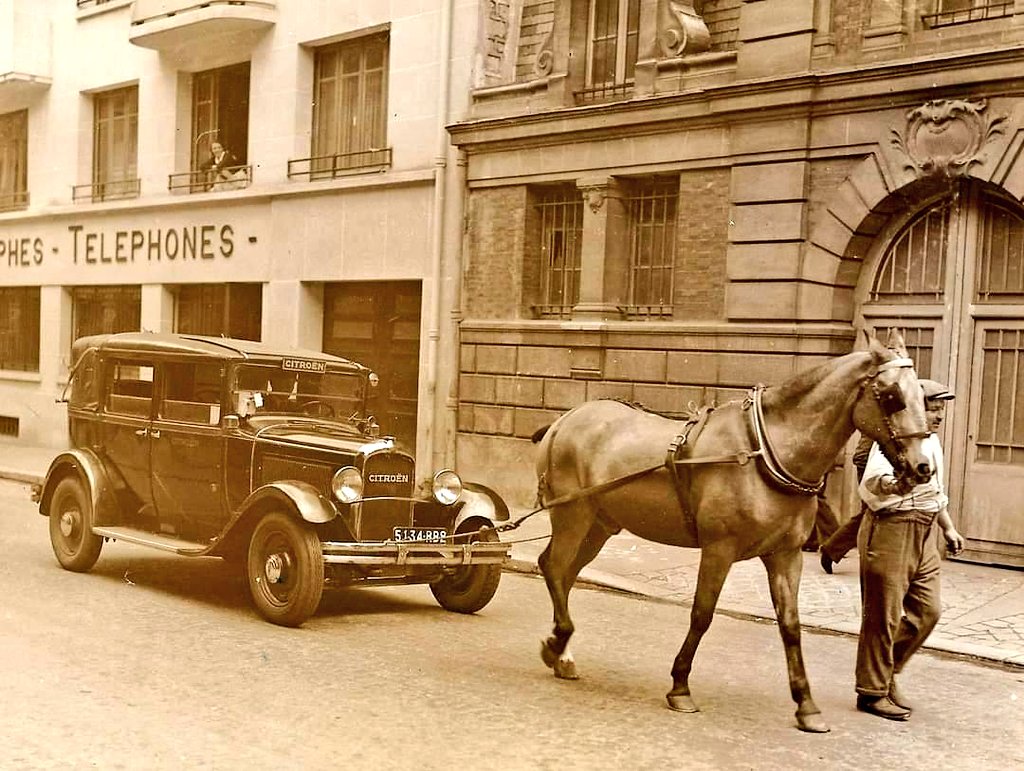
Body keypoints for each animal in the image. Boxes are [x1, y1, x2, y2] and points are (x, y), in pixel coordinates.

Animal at [532, 329, 933, 729]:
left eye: (921, 395)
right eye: (892, 396)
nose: (923, 467)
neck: (764, 452)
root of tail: (565, 420)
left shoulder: (785, 555)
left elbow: (791, 625)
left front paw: (806, 704)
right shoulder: (719, 549)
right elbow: (702, 614)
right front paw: (680, 686)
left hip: (599, 525)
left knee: (565, 575)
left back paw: (561, 652)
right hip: (573, 515)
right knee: (553, 566)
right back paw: (559, 641)